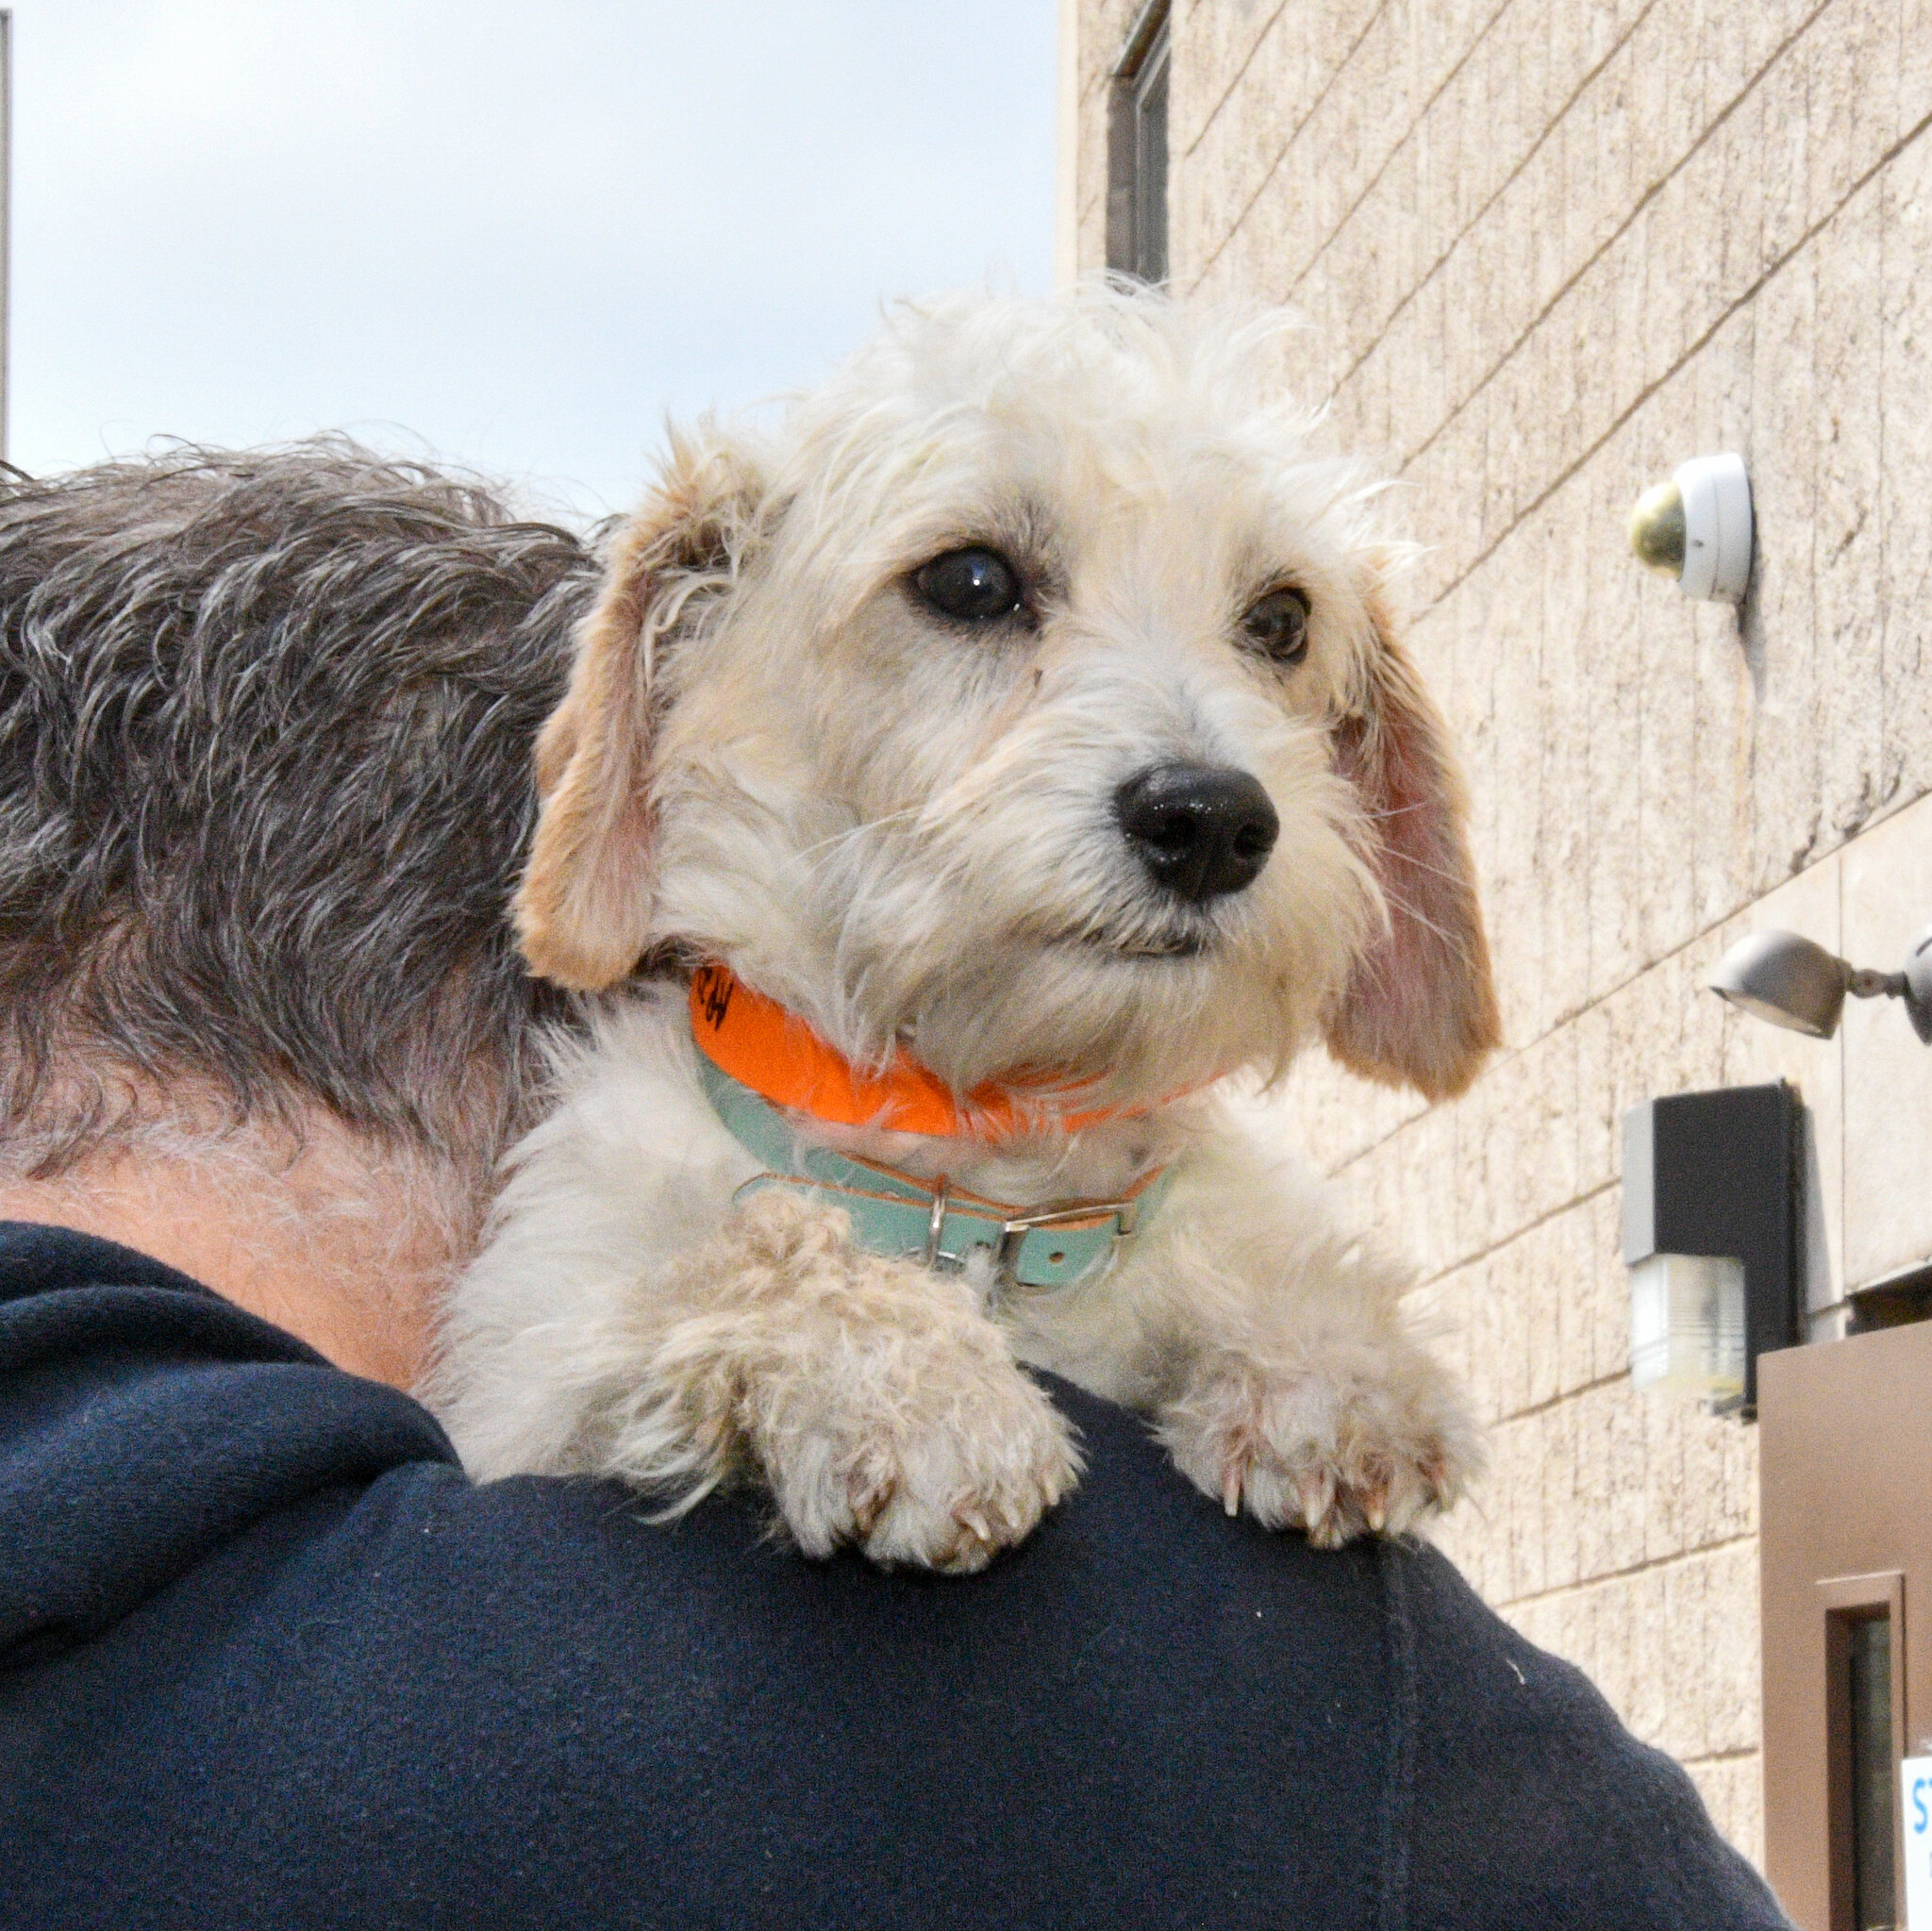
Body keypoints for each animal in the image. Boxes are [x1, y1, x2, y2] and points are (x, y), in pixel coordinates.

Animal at [430, 293, 1499, 1575]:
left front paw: (1326, 1366)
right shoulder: (526, 1382)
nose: (1210, 822)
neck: (990, 1185)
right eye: (973, 579)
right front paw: (906, 1383)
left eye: (1281, 618)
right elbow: (737, 1255)